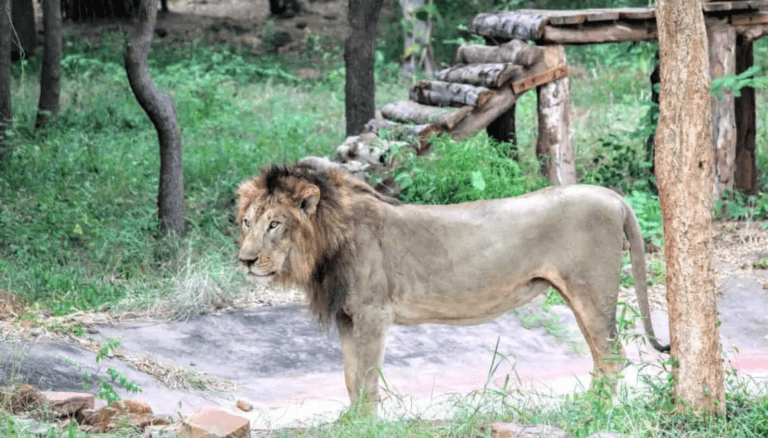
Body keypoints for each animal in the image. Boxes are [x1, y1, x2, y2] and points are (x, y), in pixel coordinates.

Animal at [236, 162, 669, 405]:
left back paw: (591, 411)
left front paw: (366, 422)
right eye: (246, 222)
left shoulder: (373, 314)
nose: (245, 260)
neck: (327, 244)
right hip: (577, 295)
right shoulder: (347, 316)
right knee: (601, 357)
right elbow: (349, 378)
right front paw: (349, 421)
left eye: (275, 224)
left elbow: (368, 379)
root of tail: (613, 196)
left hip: (592, 291)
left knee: (613, 356)